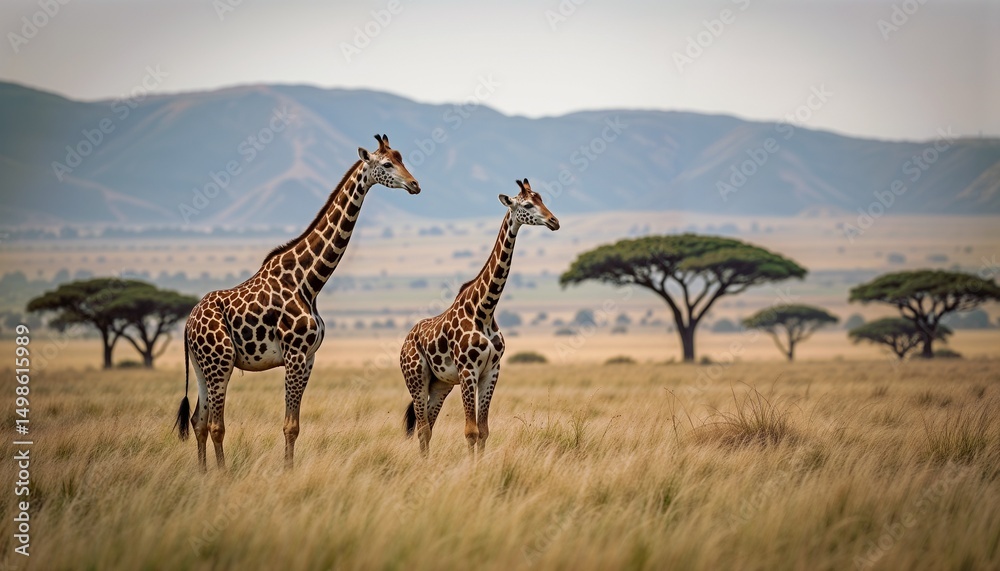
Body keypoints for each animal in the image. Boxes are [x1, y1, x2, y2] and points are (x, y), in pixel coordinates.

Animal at [175, 134, 420, 470]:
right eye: (386, 164)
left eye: (401, 158)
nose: (415, 184)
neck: (309, 281)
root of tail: (188, 324)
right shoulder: (294, 354)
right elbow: (289, 425)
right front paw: (287, 471)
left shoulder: (310, 357)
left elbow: (296, 425)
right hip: (219, 362)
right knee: (215, 424)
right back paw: (222, 473)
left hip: (202, 366)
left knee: (198, 421)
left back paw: (203, 474)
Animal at [400, 179, 559, 457]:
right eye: (528, 204)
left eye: (542, 199)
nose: (554, 221)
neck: (484, 310)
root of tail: (406, 340)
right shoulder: (468, 370)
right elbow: (471, 431)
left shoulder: (491, 371)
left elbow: (483, 431)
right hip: (416, 378)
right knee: (421, 427)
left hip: (440, 384)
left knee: (428, 426)